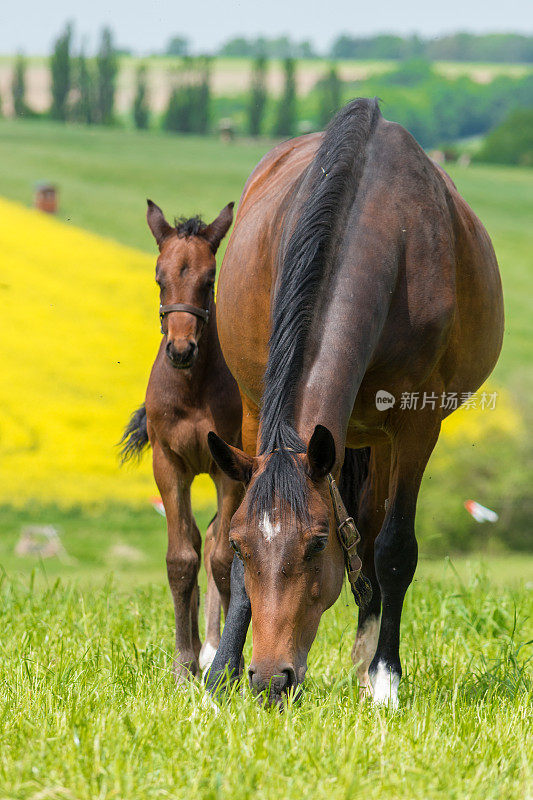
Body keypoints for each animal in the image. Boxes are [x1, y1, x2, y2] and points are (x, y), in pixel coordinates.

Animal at [120, 200, 241, 680]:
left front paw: (225, 664)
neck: (192, 389)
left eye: (209, 280)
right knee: (196, 536)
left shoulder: (230, 468)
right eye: (159, 277)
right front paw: (182, 663)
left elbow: (224, 558)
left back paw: (214, 648)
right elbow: (181, 557)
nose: (181, 349)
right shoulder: (169, 464)